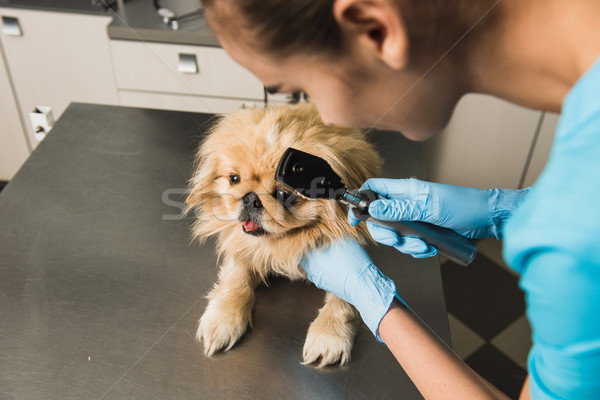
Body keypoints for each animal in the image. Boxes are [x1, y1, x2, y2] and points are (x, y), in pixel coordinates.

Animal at [186, 104, 380, 368]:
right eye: (234, 179)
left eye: (284, 195)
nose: (250, 198)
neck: (284, 242)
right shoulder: (243, 248)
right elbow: (236, 280)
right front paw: (222, 319)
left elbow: (344, 299)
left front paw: (329, 335)